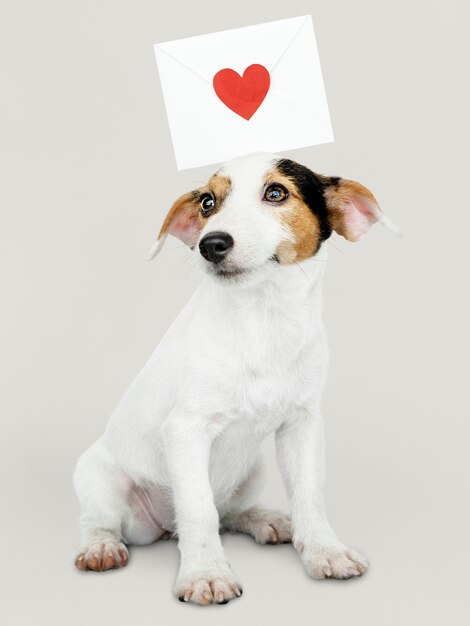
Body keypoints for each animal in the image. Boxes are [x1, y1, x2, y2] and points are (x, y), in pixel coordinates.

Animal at [73, 152, 396, 604]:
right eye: (208, 203)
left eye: (276, 193)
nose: (211, 244)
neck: (263, 319)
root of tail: (162, 528)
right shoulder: (186, 430)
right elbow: (198, 509)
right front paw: (206, 573)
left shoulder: (303, 425)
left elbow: (309, 496)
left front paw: (324, 551)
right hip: (98, 478)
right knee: (102, 521)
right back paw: (101, 546)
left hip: (251, 470)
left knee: (229, 513)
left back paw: (265, 520)